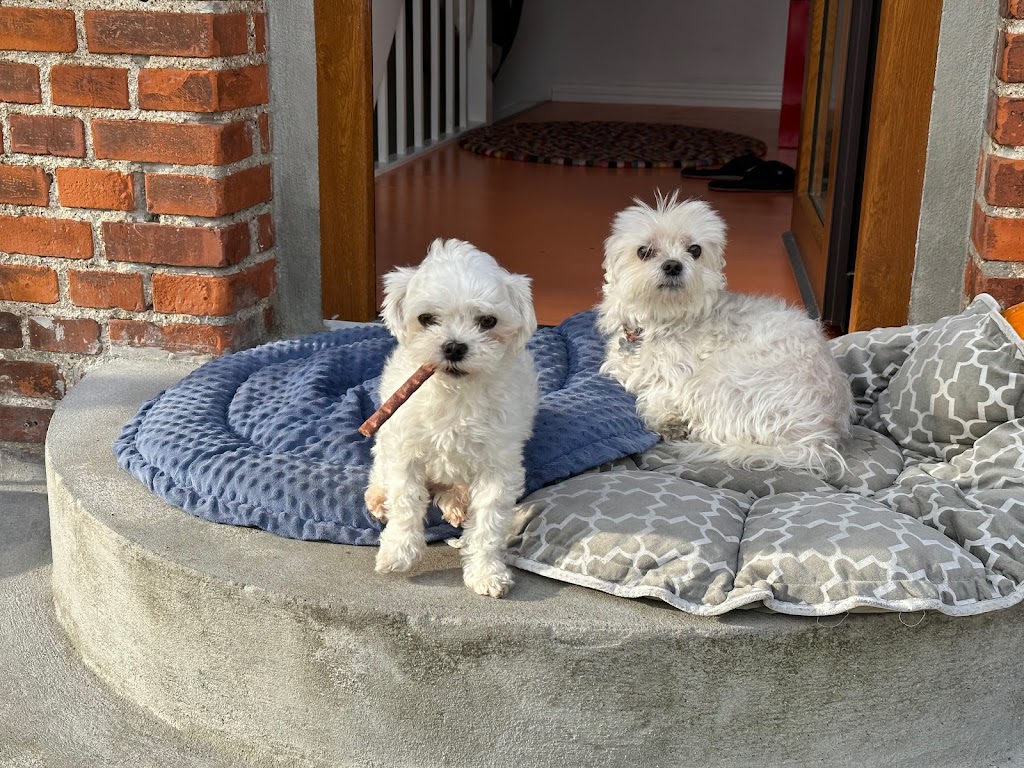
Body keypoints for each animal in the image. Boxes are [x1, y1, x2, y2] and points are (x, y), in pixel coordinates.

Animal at [366, 237, 540, 598]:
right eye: (426, 318)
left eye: (487, 321)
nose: (454, 346)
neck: (455, 393)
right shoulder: (405, 449)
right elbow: (405, 502)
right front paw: (397, 553)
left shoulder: (498, 466)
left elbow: (488, 523)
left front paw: (486, 572)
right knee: (380, 470)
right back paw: (378, 498)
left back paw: (456, 501)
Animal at [598, 193, 851, 475]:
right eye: (644, 251)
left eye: (695, 250)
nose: (673, 265)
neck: (662, 321)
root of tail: (815, 439)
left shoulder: (675, 375)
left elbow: (660, 393)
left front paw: (668, 420)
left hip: (714, 384)